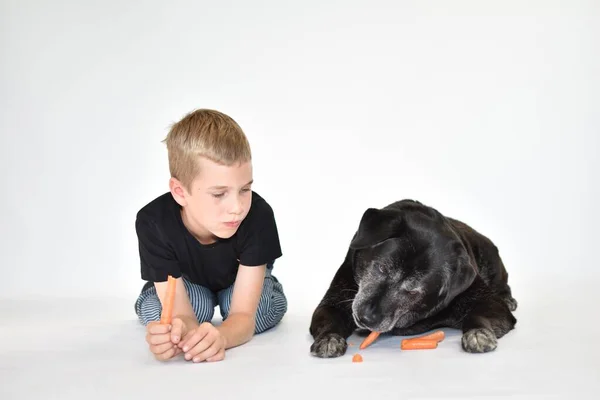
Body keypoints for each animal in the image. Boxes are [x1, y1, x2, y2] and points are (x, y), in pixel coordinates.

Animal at [310, 198, 516, 358]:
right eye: (382, 267)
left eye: (413, 292)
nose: (366, 318)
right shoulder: (332, 304)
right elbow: (330, 320)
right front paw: (329, 339)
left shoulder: (489, 302)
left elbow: (478, 314)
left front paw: (478, 333)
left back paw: (509, 299)